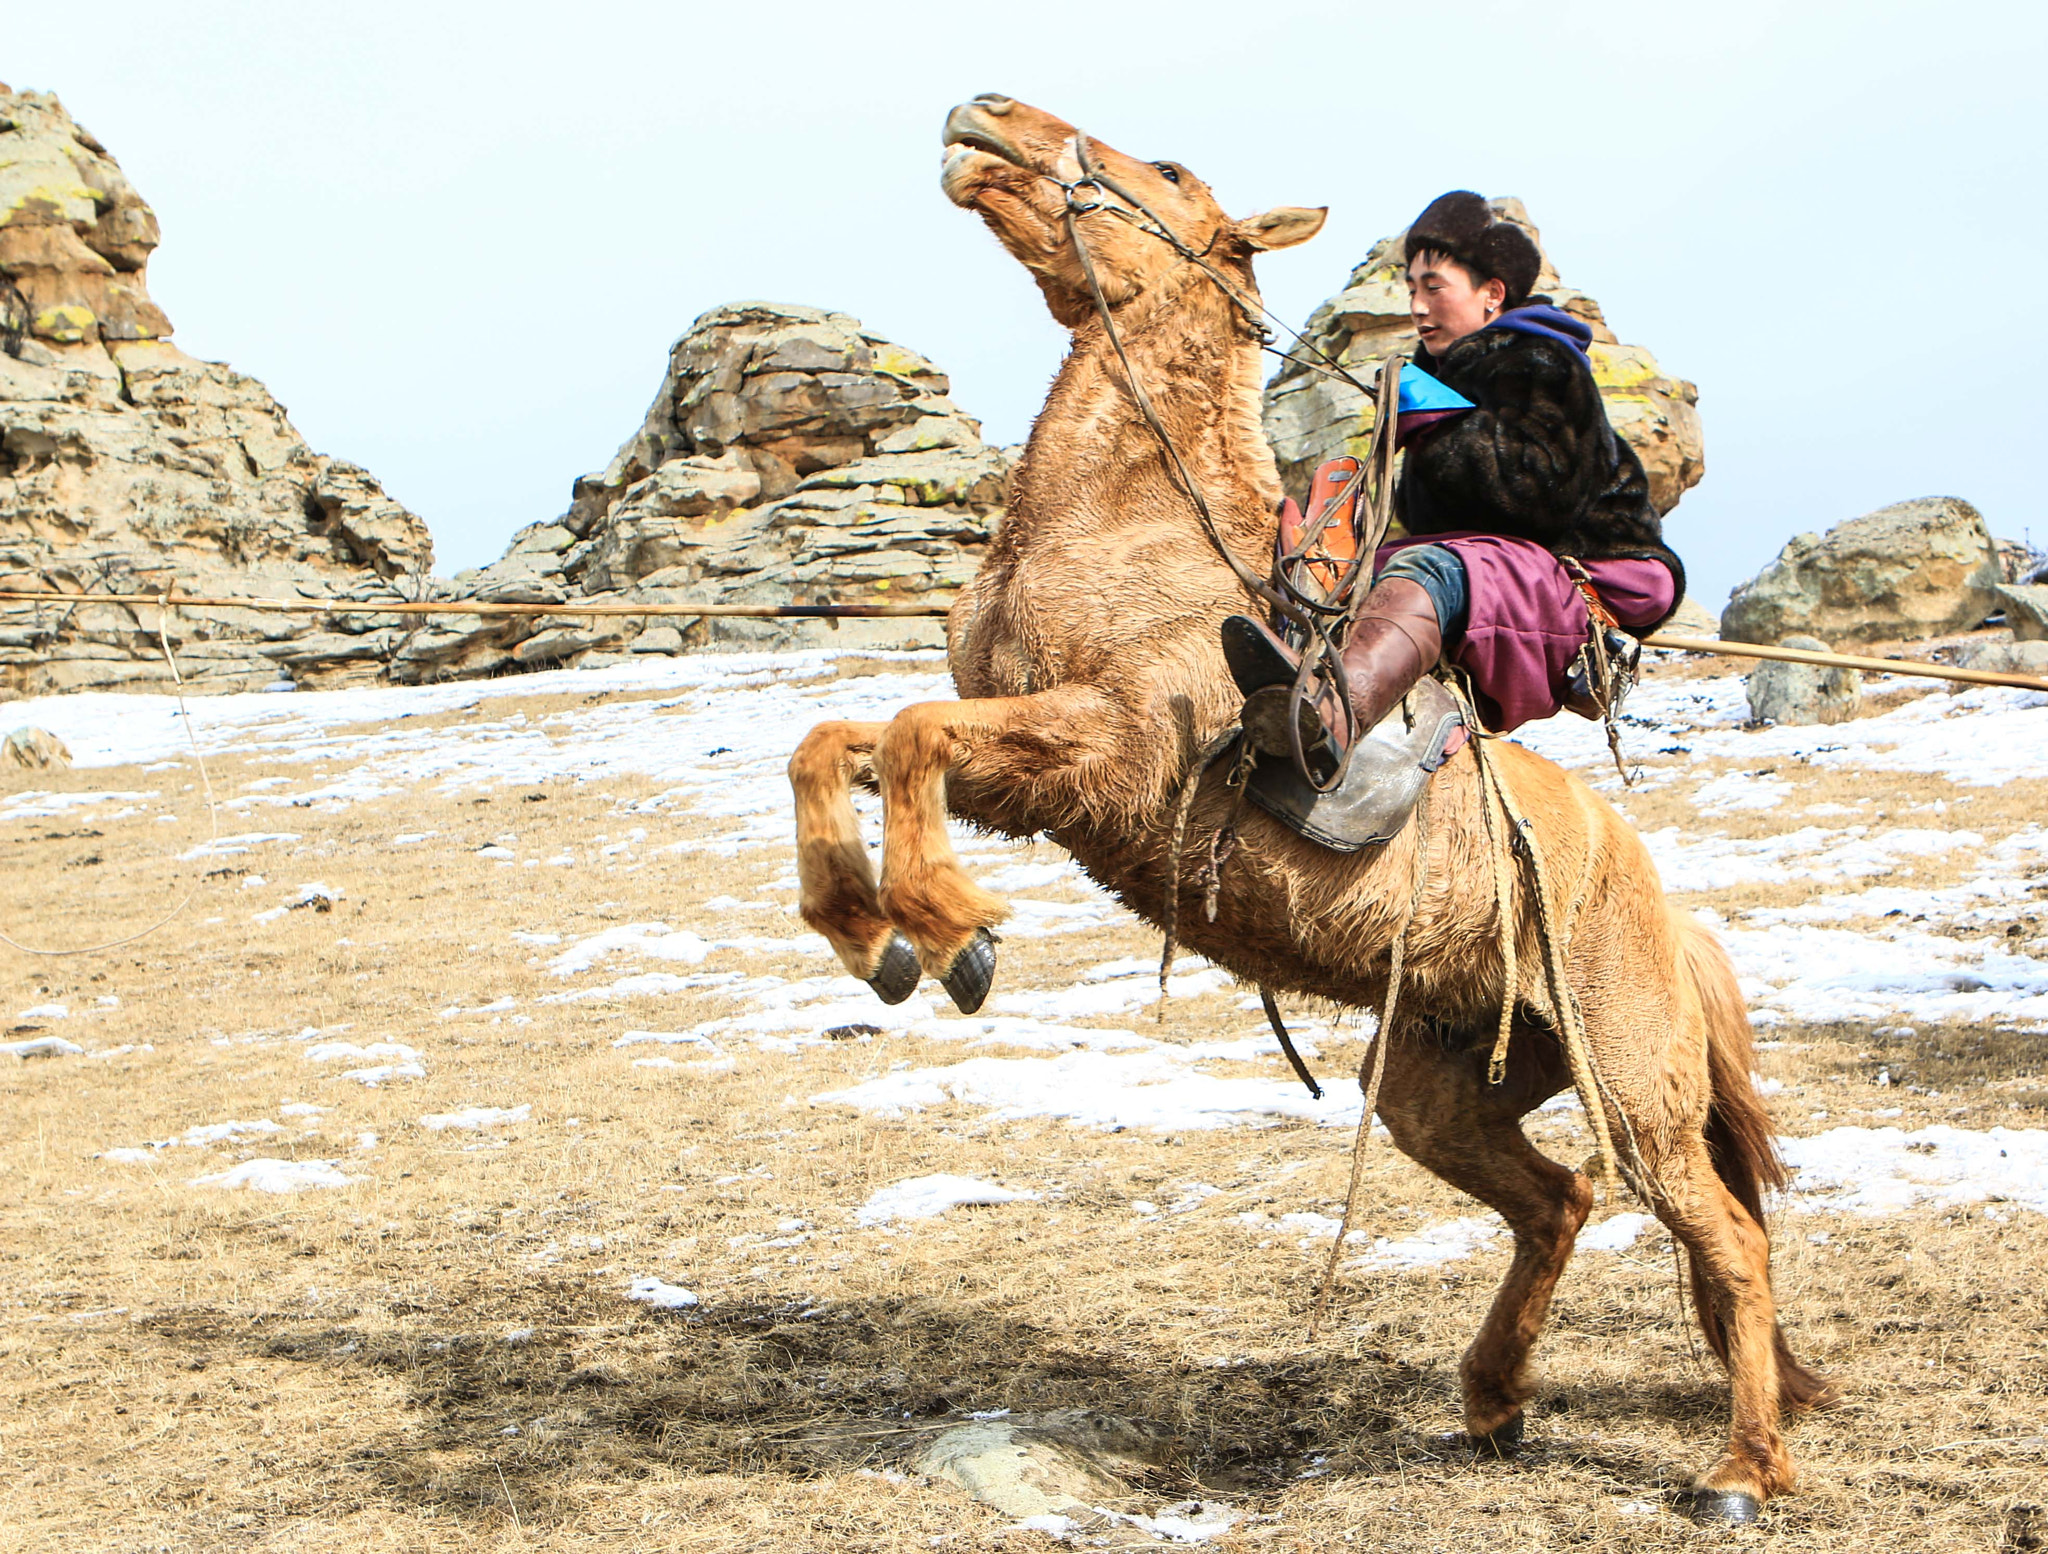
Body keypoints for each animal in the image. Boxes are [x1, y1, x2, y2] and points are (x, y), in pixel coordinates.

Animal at [786, 94, 1843, 1523]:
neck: (1134, 526)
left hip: (1637, 1095)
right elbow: (834, 747)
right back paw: (1491, 1401)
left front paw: (948, 933)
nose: (982, 115)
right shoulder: (1023, 766)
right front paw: (873, 932)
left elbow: (904, 737)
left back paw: (1738, 1467)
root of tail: (1666, 915)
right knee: (1555, 1203)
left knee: (1721, 1239)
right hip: (1434, 1093)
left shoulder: (1107, 754)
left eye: (1163, 168)